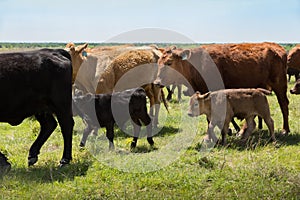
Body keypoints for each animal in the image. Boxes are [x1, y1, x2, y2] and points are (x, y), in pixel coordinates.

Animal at [155, 43, 288, 135]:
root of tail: (277, 48)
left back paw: (285, 130)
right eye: (158, 62)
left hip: (280, 86)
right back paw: (242, 132)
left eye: (169, 63)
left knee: (283, 104)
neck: (197, 64)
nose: (156, 82)